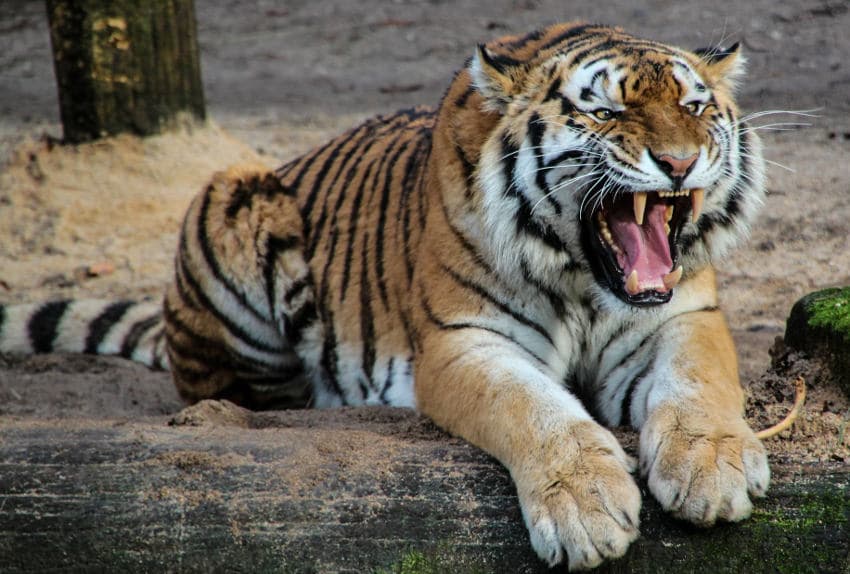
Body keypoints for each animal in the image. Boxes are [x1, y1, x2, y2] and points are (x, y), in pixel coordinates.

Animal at [0, 23, 769, 570]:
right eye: (606, 112)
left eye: (695, 106)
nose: (679, 162)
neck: (584, 279)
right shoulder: (462, 341)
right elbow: (534, 408)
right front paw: (586, 507)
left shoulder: (682, 316)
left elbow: (699, 382)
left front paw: (712, 469)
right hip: (232, 196)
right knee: (230, 391)